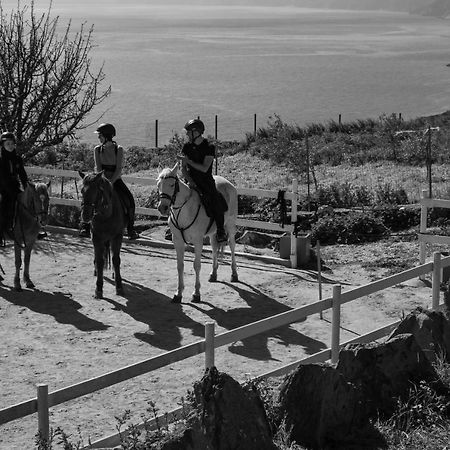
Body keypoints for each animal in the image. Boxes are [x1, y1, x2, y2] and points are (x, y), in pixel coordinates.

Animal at [78, 170, 125, 298]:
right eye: (82, 191)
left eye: (96, 191)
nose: (85, 215)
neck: (106, 214)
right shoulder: (96, 238)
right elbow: (100, 261)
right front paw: (98, 288)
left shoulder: (117, 237)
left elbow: (116, 259)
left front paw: (119, 286)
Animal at [157, 163, 237, 304]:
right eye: (158, 185)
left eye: (172, 185)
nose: (163, 208)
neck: (185, 209)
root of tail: (229, 184)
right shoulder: (177, 241)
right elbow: (180, 265)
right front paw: (178, 293)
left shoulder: (198, 241)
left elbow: (197, 265)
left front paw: (196, 294)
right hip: (214, 232)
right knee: (214, 247)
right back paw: (213, 274)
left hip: (230, 226)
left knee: (232, 245)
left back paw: (234, 274)